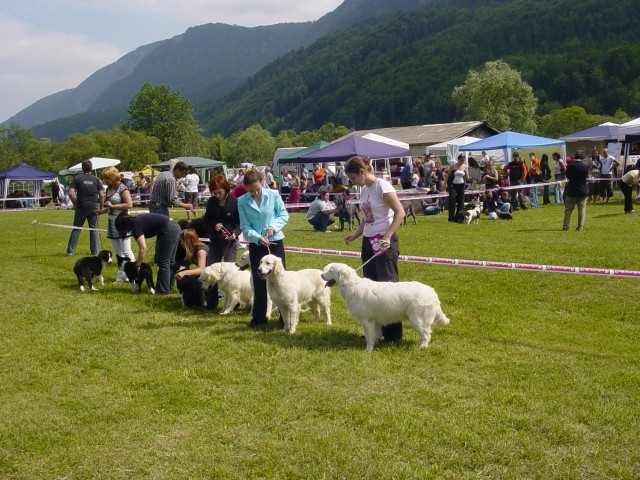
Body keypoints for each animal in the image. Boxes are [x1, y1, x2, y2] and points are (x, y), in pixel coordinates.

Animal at [320, 262, 450, 352]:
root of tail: (432, 292)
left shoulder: (367, 321)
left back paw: (422, 347)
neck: (351, 285)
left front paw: (368, 350)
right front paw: (375, 344)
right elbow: (375, 334)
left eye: (331, 270)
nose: (321, 274)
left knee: (427, 334)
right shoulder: (375, 320)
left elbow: (369, 337)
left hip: (417, 320)